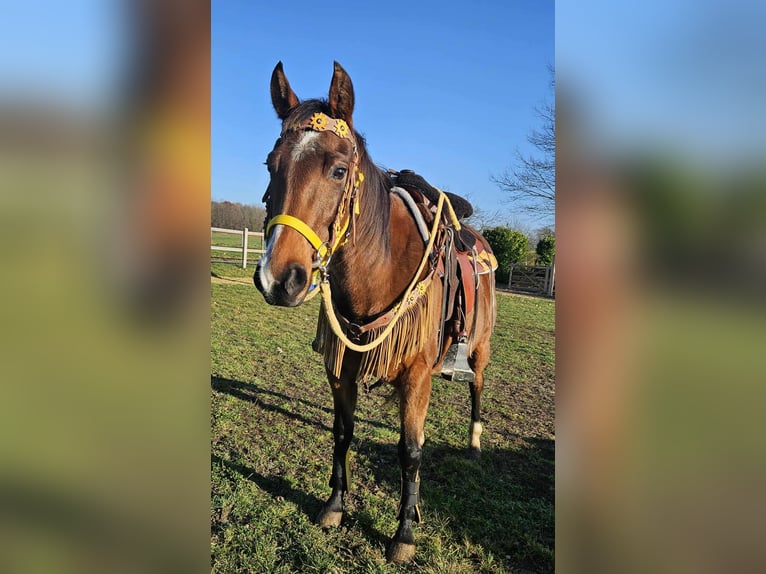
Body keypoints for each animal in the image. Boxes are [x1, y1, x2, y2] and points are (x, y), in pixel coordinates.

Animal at [254, 61, 497, 564]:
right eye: (271, 164)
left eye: (338, 169)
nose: (277, 278)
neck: (377, 268)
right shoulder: (341, 367)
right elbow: (342, 431)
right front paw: (334, 506)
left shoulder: (417, 375)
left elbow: (411, 451)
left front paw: (404, 533)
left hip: (479, 347)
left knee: (477, 386)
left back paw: (475, 442)